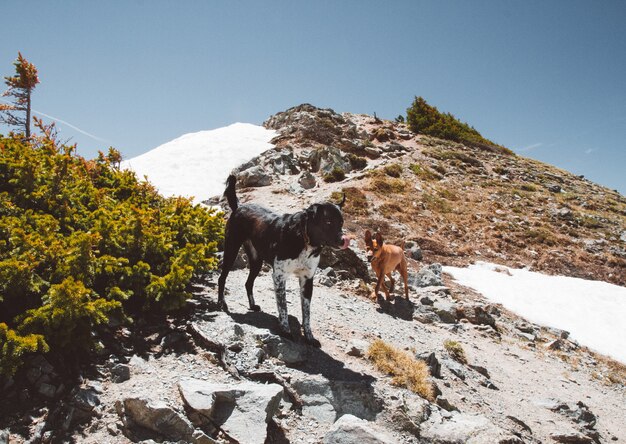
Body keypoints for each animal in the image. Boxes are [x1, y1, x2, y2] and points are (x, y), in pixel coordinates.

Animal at [217, 174, 348, 346]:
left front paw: (309, 337)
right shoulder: (279, 276)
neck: (305, 240)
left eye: (341, 222)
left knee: (248, 283)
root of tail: (239, 206)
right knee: (222, 278)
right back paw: (222, 303)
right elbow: (283, 306)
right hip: (231, 251)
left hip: (256, 261)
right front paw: (286, 331)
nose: (344, 240)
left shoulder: (307, 279)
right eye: (328, 222)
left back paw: (252, 305)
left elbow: (306, 313)